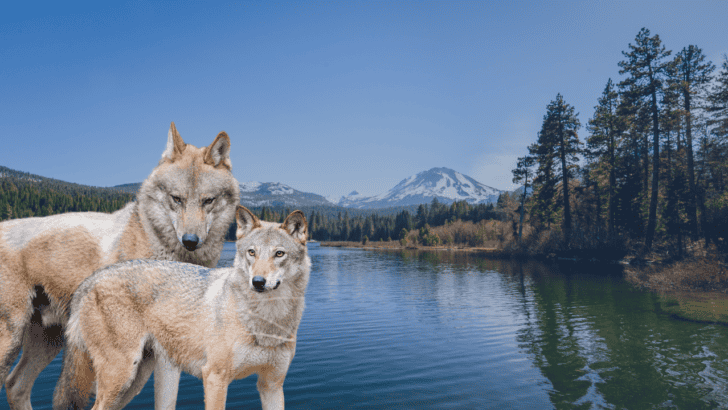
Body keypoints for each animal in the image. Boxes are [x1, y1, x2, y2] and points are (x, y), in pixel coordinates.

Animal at [0, 122, 241, 410]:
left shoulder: (167, 356)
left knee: (15, 385)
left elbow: (167, 402)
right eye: (177, 199)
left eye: (208, 200)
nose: (190, 241)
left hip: (55, 343)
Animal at [54, 206, 310, 410]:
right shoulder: (215, 378)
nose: (257, 282)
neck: (268, 320)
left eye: (279, 254)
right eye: (252, 252)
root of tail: (89, 280)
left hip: (134, 382)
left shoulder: (272, 385)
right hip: (121, 376)